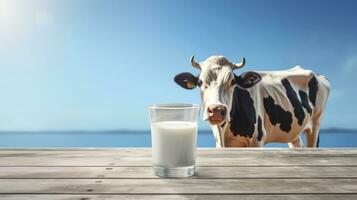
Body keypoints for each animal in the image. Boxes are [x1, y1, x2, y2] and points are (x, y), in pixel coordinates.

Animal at [174, 55, 330, 148]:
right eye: (200, 82)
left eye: (232, 82)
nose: (217, 110)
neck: (224, 131)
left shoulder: (257, 139)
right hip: (293, 132)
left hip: (316, 124)